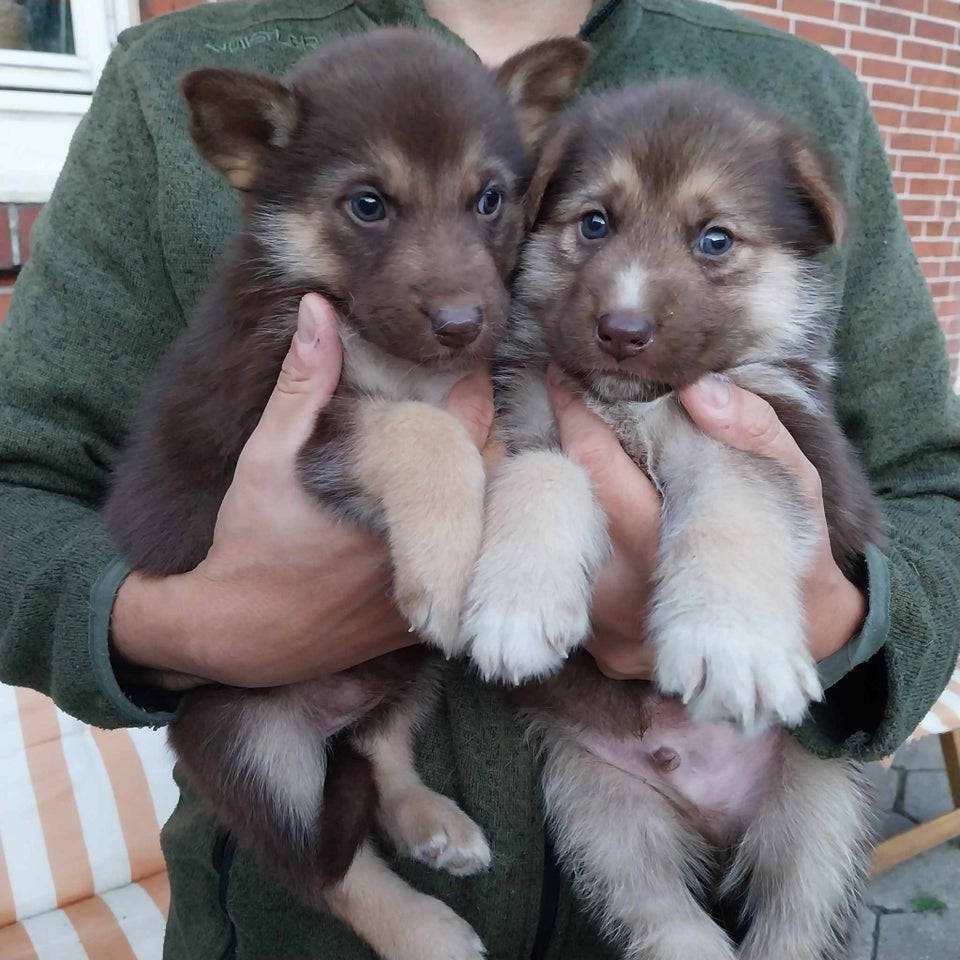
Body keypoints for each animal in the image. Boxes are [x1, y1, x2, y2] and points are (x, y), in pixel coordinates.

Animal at [464, 79, 884, 956]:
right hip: (601, 809)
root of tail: (714, 818)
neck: (637, 404)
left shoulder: (781, 435)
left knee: (792, 923)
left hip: (825, 804)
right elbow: (544, 472)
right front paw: (517, 604)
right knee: (667, 918)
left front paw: (733, 643)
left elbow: (734, 495)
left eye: (714, 239)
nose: (621, 331)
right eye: (595, 223)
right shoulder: (530, 418)